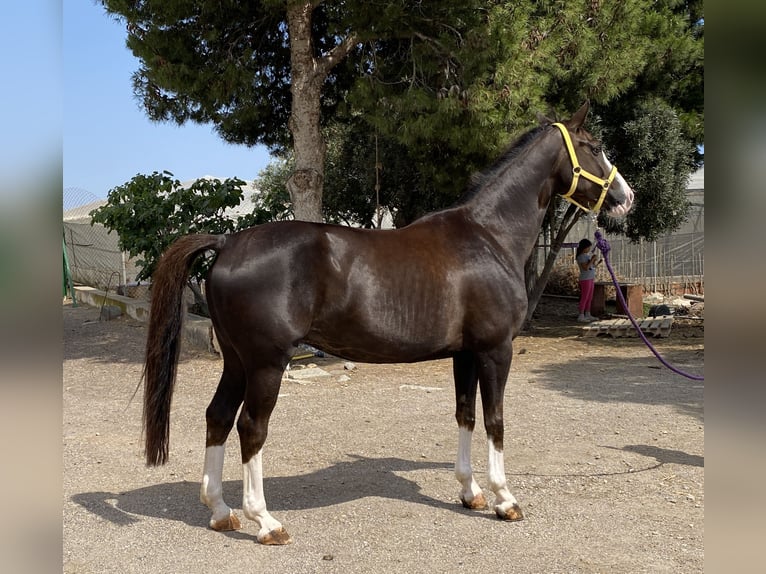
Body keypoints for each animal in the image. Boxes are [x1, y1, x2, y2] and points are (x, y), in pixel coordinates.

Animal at [142, 102, 634, 545]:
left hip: (237, 361)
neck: (488, 236)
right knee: (250, 428)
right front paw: (505, 500)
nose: (625, 198)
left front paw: (470, 492)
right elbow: (494, 420)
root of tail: (227, 241)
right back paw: (265, 522)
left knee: (218, 416)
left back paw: (220, 511)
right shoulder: (496, 350)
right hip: (265, 363)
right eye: (594, 146)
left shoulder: (465, 353)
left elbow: (465, 414)